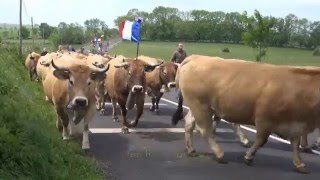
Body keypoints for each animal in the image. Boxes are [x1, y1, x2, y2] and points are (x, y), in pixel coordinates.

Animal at [174, 54, 320, 173]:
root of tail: (195, 57)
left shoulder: (295, 123)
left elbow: (295, 144)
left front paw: (300, 164)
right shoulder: (264, 119)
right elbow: (261, 140)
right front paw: (248, 156)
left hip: (196, 107)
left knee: (189, 125)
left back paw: (191, 150)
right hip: (200, 106)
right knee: (205, 130)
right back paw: (219, 154)